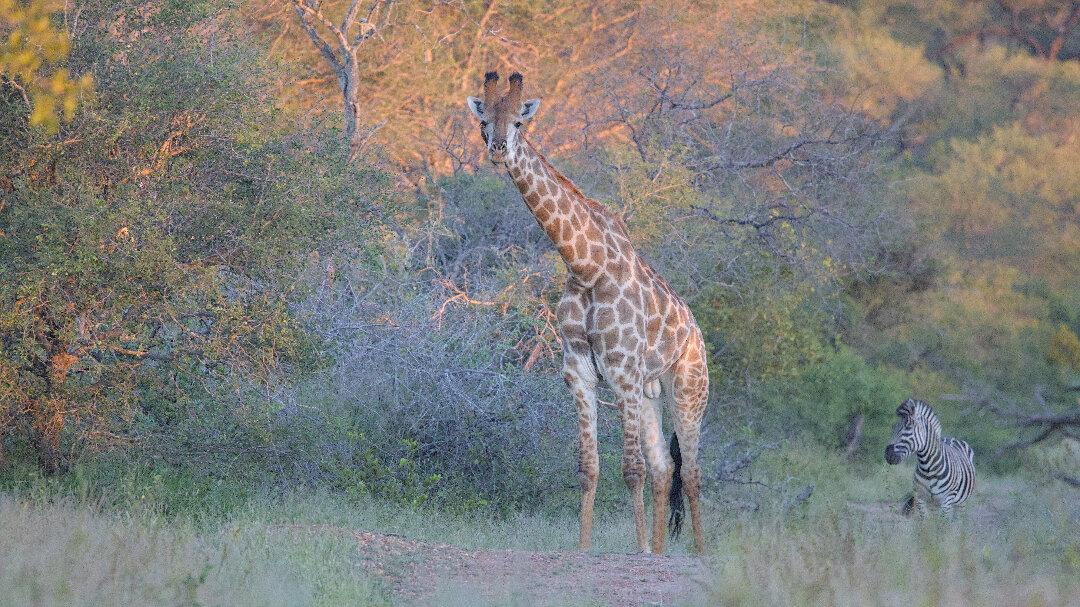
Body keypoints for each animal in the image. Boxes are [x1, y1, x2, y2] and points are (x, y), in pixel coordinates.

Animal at [467, 71, 709, 553]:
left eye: (519, 122)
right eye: (484, 121)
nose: (497, 149)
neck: (585, 265)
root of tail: (696, 333)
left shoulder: (623, 370)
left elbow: (629, 469)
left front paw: (638, 551)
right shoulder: (579, 370)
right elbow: (589, 467)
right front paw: (585, 548)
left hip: (689, 388)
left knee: (690, 472)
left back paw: (697, 551)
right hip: (651, 393)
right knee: (665, 467)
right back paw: (661, 549)